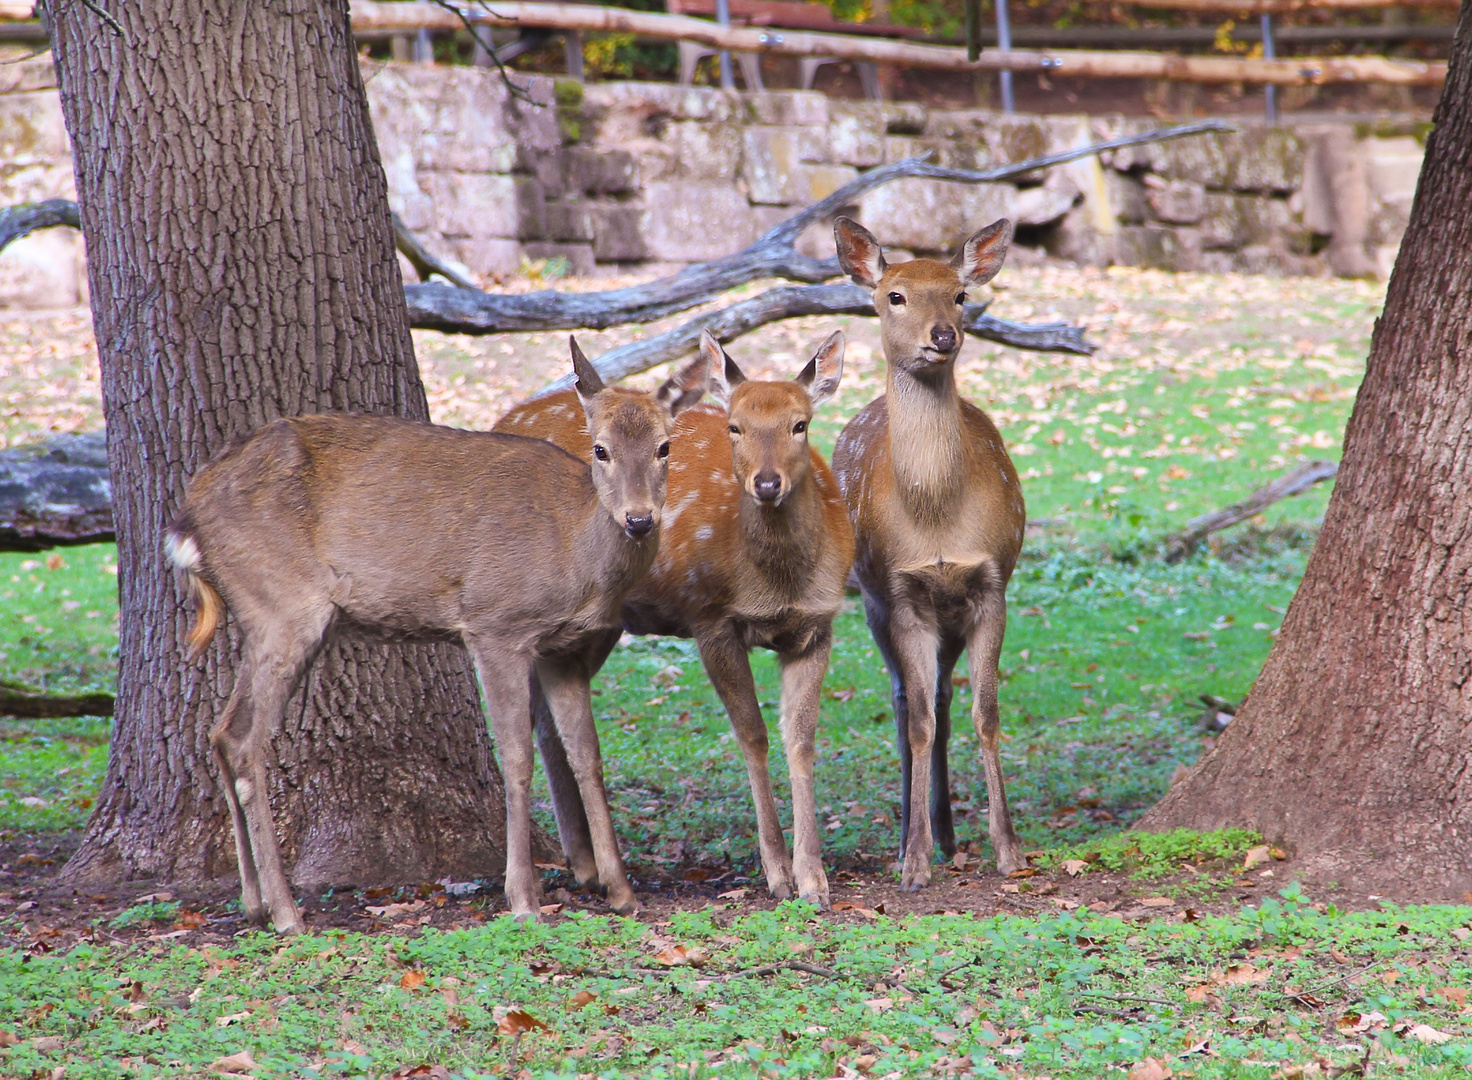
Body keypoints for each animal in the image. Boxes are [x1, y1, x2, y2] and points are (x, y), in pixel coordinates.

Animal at [165, 342, 706, 935]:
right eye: (600, 448)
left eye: (665, 446)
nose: (639, 519)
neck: (576, 556)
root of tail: (187, 517)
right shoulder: (495, 624)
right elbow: (517, 756)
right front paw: (523, 898)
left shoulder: (562, 650)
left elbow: (588, 756)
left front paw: (622, 891)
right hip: (283, 603)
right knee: (246, 742)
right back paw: (287, 913)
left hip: (267, 615)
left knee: (221, 731)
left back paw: (254, 901)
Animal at [500, 329, 859, 906]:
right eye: (734, 425)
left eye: (800, 424)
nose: (766, 484)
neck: (777, 584)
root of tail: (501, 419)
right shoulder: (709, 616)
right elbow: (753, 735)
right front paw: (777, 873)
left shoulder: (818, 625)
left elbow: (801, 740)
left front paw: (814, 879)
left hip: (598, 624)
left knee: (550, 720)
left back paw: (586, 864)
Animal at [836, 216, 1030, 894]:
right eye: (894, 295)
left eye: (960, 294)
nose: (942, 335)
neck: (937, 520)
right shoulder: (901, 594)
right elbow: (917, 721)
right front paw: (914, 861)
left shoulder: (993, 584)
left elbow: (985, 713)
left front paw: (1009, 849)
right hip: (872, 603)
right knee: (904, 703)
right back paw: (908, 839)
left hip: (949, 615)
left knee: (944, 700)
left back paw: (947, 833)